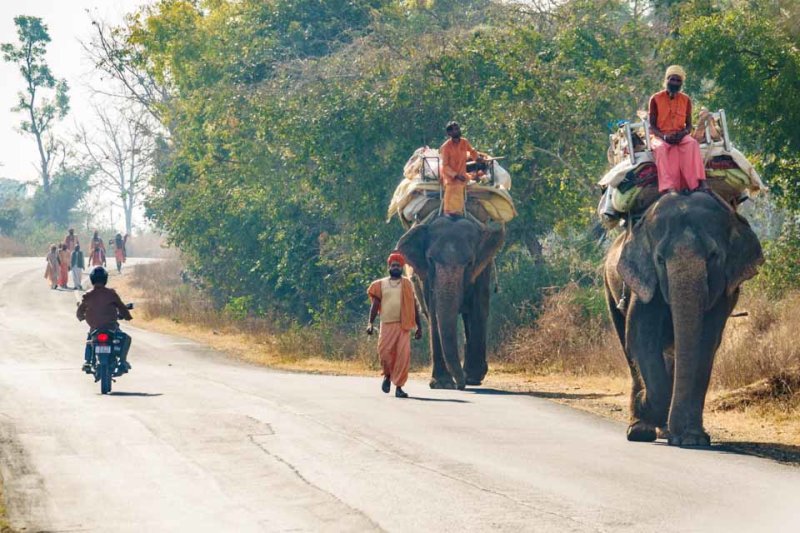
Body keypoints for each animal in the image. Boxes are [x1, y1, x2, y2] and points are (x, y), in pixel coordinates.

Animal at [396, 214, 504, 388]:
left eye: (470, 263)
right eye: (430, 260)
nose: (461, 386)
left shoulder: (482, 269)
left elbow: (479, 307)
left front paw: (472, 377)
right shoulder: (426, 276)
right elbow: (434, 312)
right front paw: (443, 384)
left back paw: (471, 376)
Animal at [608, 191, 764, 444]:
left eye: (713, 256)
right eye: (660, 259)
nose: (641, 400)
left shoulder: (723, 290)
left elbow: (707, 343)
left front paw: (693, 439)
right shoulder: (644, 282)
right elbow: (641, 337)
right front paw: (645, 413)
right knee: (628, 343)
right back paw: (641, 428)